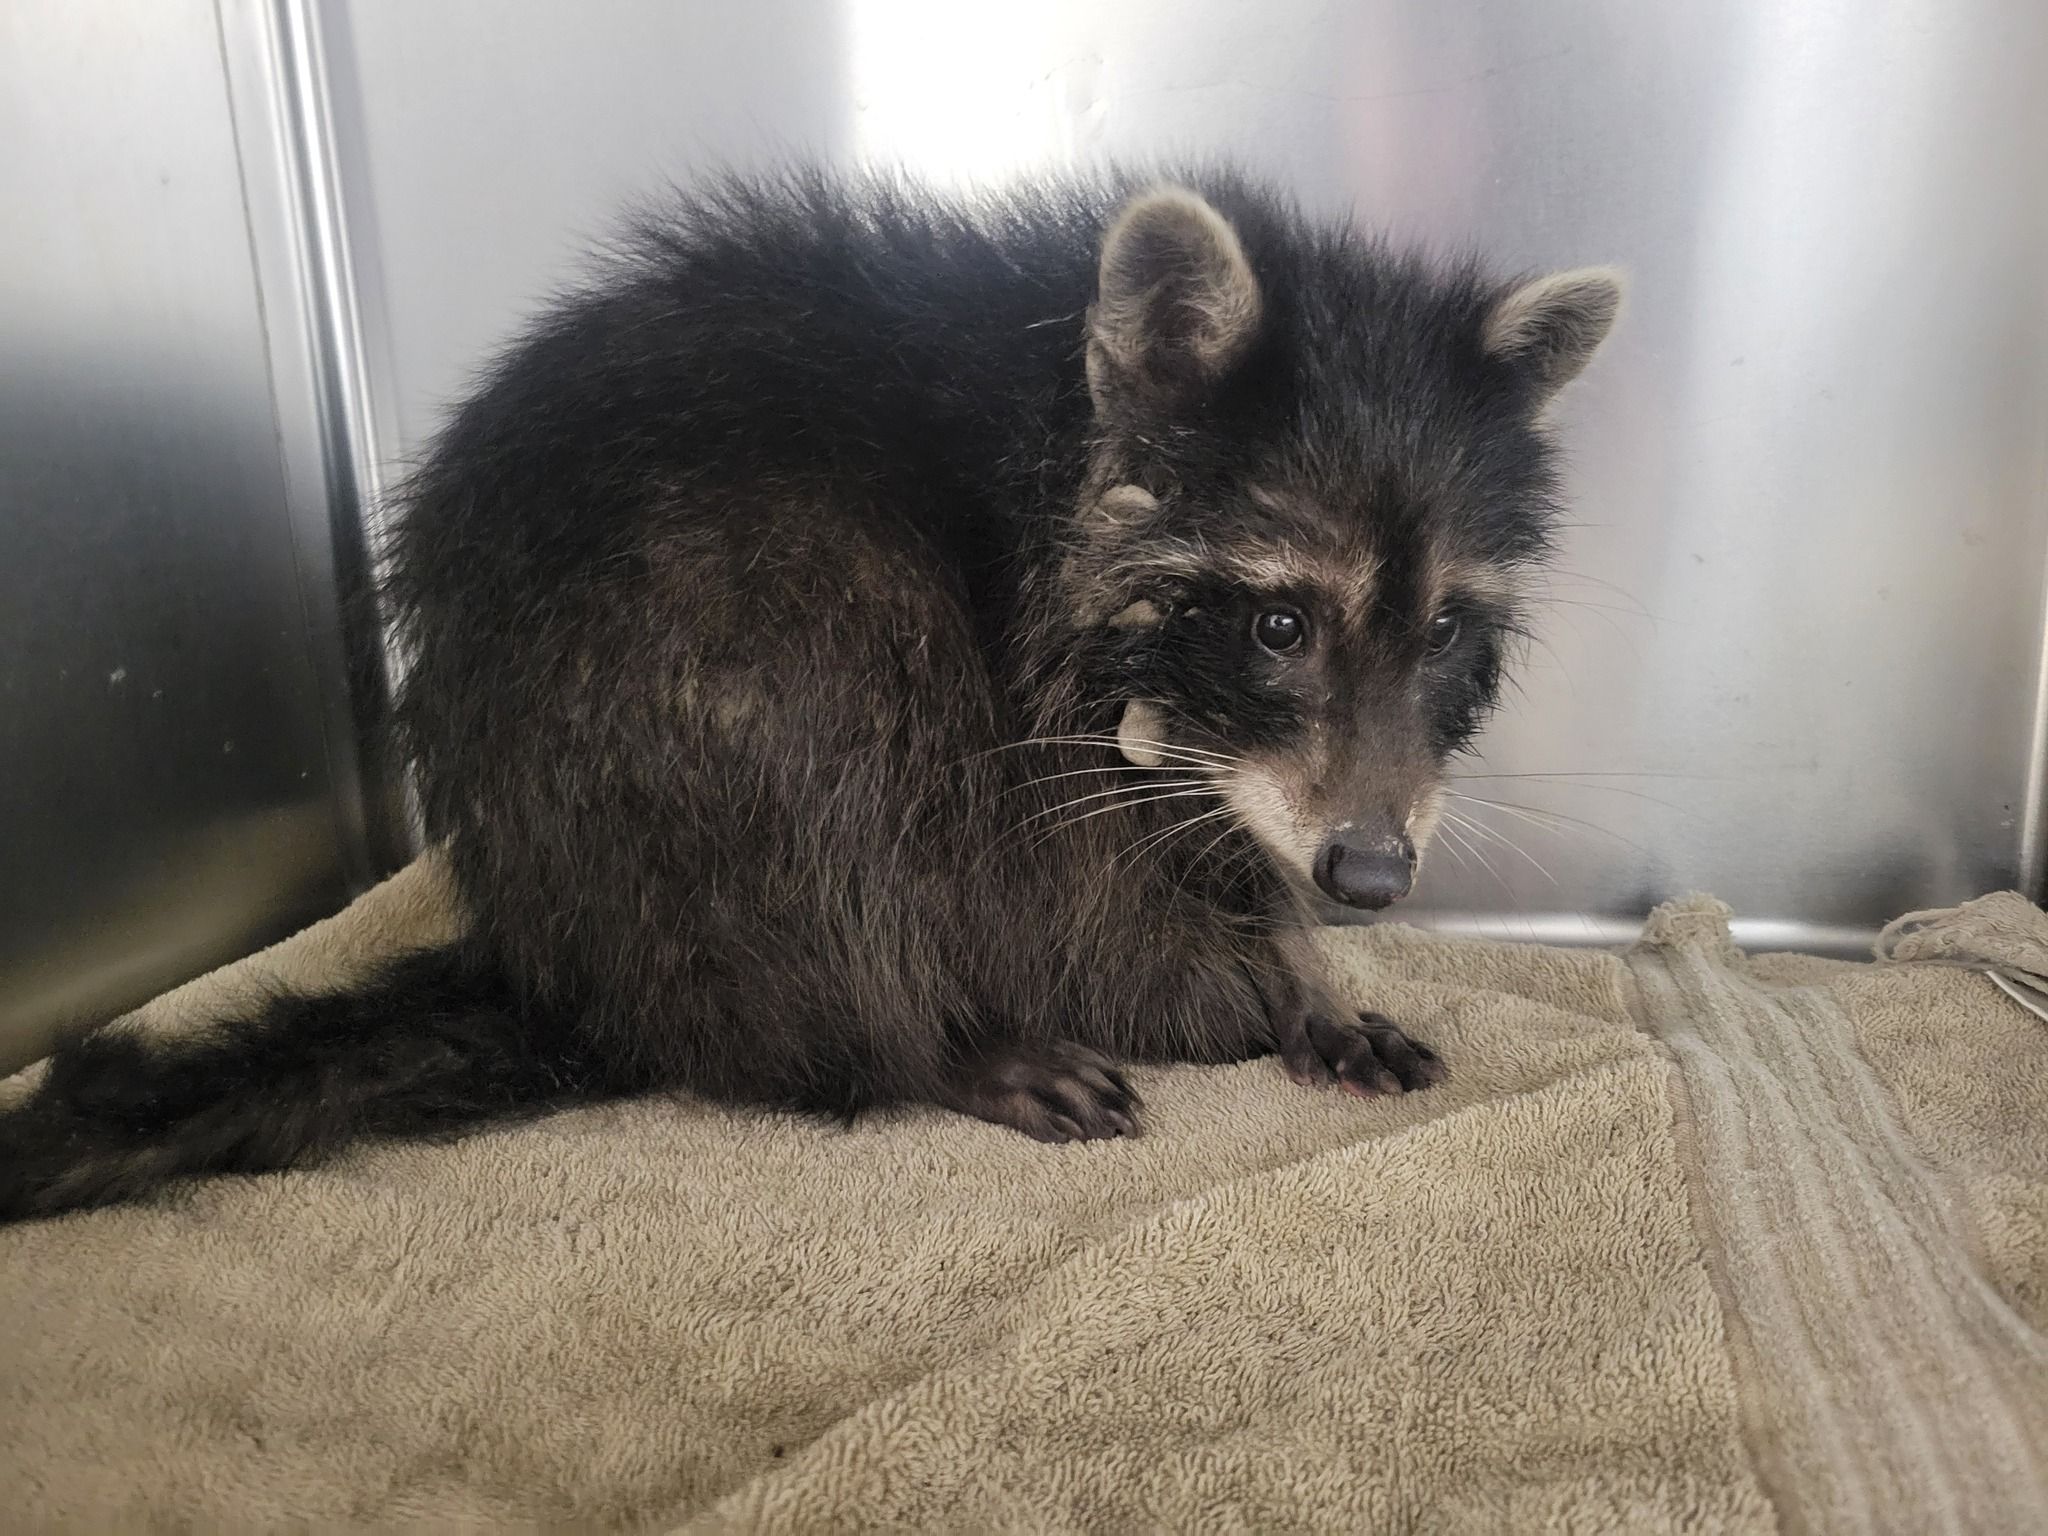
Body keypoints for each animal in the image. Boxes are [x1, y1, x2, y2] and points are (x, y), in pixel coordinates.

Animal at [0, 168, 1620, 1220]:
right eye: (1280, 622)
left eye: (1443, 633)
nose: (1371, 876)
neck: (1061, 433)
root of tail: (565, 956)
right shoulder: (1028, 683)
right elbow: (1076, 894)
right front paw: (1229, 982)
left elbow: (1220, 844)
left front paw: (1297, 964)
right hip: (680, 691)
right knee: (833, 770)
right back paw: (908, 1039)